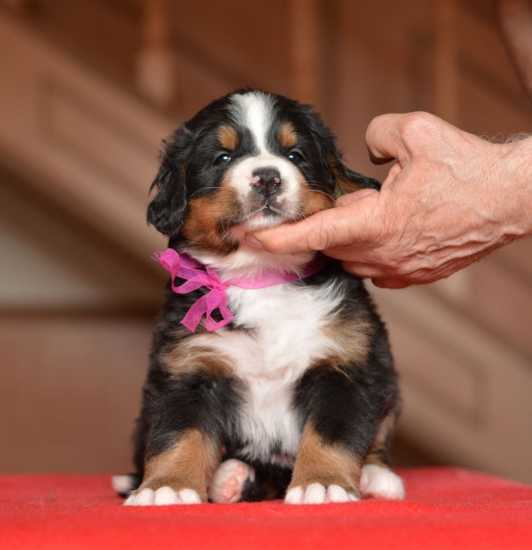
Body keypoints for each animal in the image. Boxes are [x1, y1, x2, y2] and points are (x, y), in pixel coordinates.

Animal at [112, 90, 404, 508]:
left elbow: (332, 435)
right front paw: (166, 488)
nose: (267, 175)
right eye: (223, 158)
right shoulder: (189, 370)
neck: (261, 276)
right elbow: (178, 436)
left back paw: (377, 477)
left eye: (295, 155)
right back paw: (230, 478)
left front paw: (324, 483)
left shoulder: (345, 365)